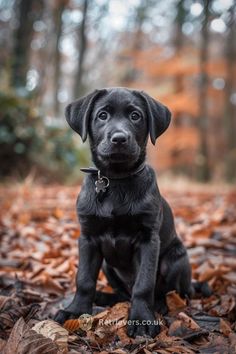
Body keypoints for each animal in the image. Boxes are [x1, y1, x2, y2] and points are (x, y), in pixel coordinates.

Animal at [54, 88, 203, 338]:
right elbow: (84, 279)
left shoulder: (148, 240)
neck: (115, 180)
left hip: (175, 259)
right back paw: (103, 297)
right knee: (123, 293)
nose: (119, 139)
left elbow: (143, 284)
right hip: (108, 266)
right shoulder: (88, 238)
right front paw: (75, 310)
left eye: (135, 116)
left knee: (176, 293)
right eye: (102, 115)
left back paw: (161, 305)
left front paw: (142, 319)